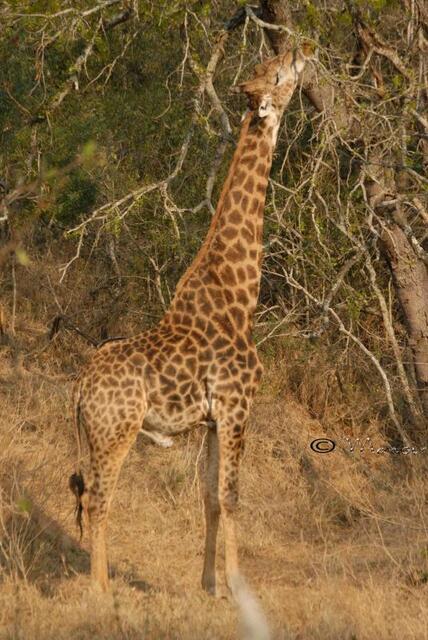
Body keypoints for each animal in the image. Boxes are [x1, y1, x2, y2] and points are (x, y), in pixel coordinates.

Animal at [69, 47, 307, 596]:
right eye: (279, 75)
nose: (299, 51)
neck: (240, 294)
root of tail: (79, 388)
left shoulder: (214, 419)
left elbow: (211, 498)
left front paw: (209, 585)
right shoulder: (239, 405)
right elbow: (235, 496)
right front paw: (238, 586)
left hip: (93, 434)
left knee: (85, 494)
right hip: (117, 432)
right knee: (97, 499)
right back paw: (101, 590)